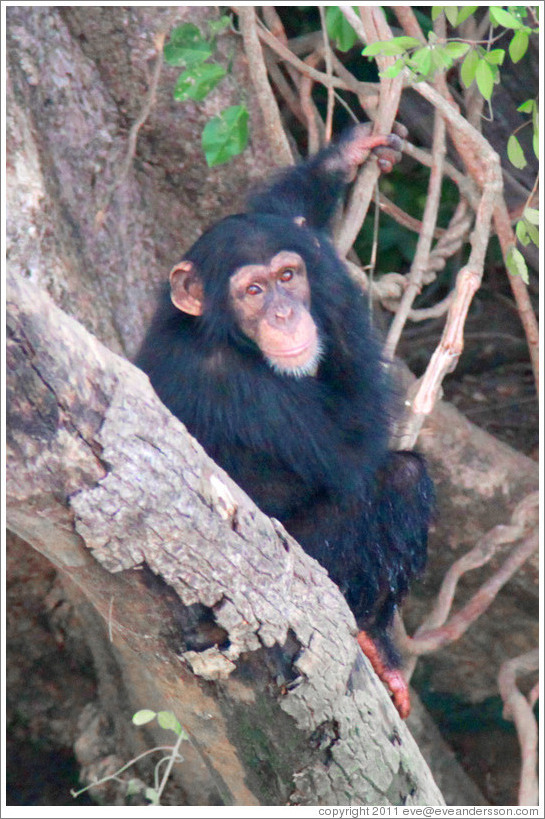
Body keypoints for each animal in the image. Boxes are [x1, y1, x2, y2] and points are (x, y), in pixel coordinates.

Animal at [136, 123, 434, 716]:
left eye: (288, 276)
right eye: (254, 290)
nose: (285, 311)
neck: (223, 335)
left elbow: (279, 213)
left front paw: (343, 159)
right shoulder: (241, 387)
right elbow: (355, 452)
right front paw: (331, 271)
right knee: (401, 477)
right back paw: (374, 637)